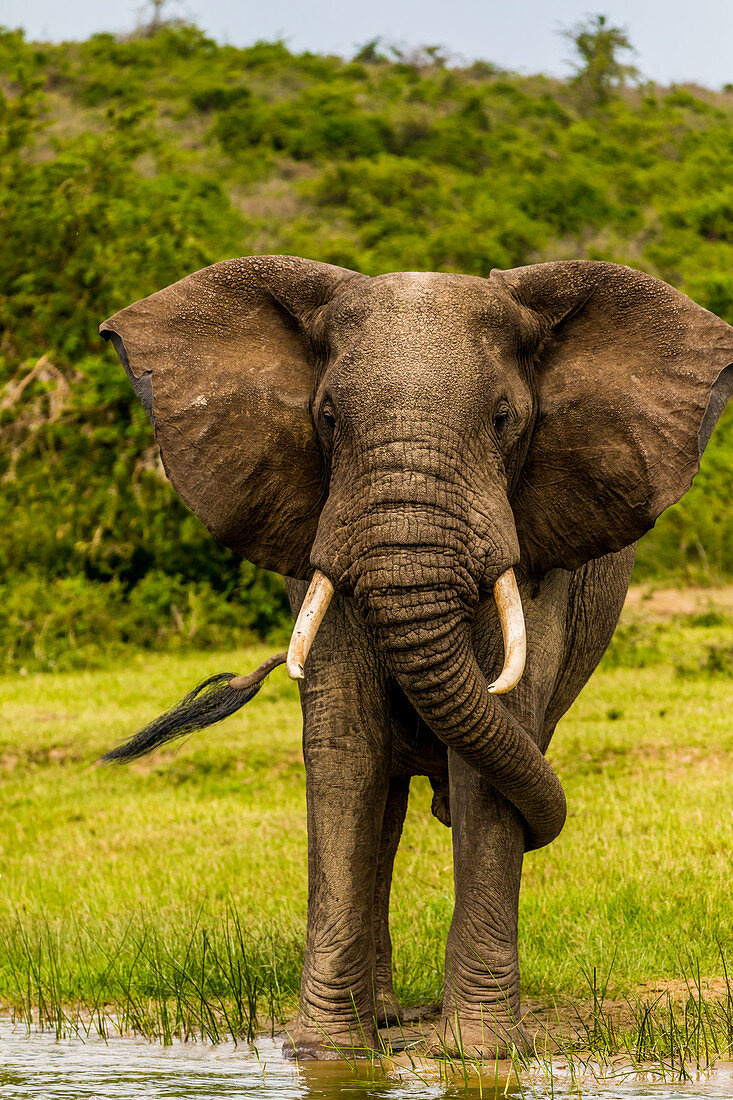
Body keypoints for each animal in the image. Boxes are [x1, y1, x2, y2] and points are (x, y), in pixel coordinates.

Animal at [98, 255, 730, 1056]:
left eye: (504, 419)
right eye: (328, 418)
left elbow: (490, 750)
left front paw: (479, 1054)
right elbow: (345, 749)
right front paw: (326, 1055)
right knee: (387, 807)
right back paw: (384, 1017)